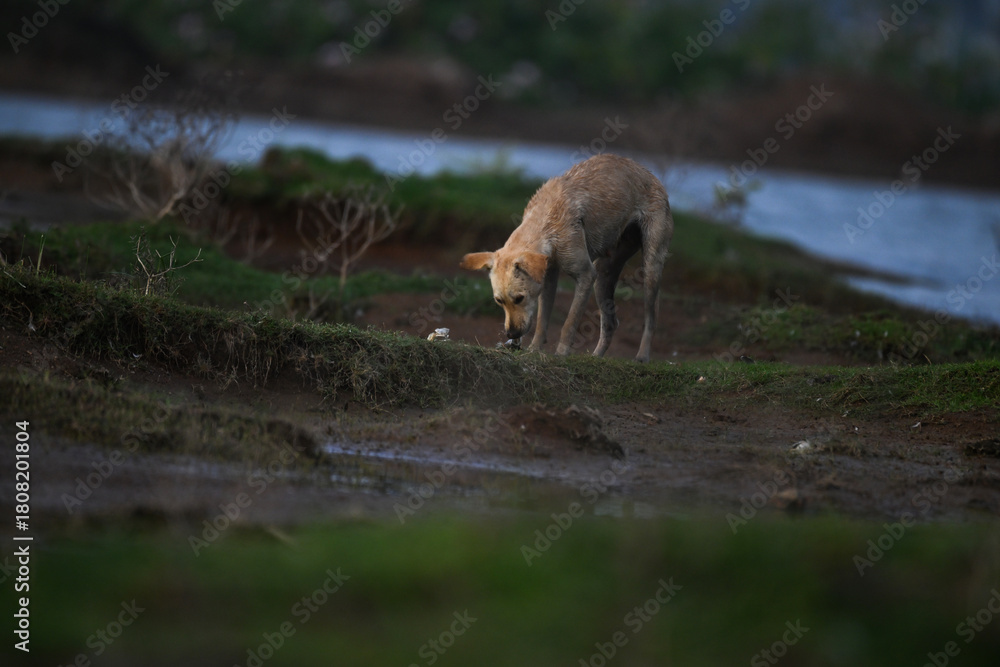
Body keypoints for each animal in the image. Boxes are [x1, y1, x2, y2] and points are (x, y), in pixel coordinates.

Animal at [460, 154, 673, 362]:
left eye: (519, 298)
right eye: (499, 301)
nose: (511, 335)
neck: (548, 222)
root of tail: (650, 175)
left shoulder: (586, 275)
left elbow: (569, 323)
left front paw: (561, 353)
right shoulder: (548, 279)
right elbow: (542, 320)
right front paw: (534, 349)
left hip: (650, 271)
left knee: (651, 320)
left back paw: (642, 356)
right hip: (603, 277)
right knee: (611, 323)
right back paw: (596, 357)